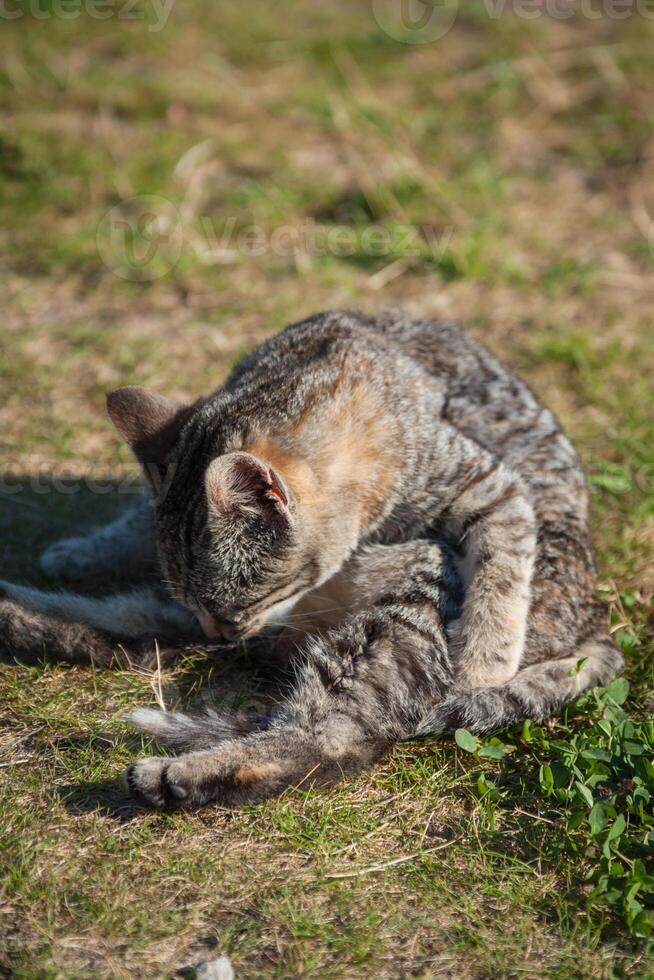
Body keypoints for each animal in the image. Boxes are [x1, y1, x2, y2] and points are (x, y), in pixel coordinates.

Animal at [0, 310, 624, 808]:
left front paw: (486, 656)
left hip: (403, 611)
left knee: (333, 741)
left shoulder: (488, 481)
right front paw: (83, 550)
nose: (220, 633)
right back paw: (19, 614)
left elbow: (504, 551)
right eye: (209, 605)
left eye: (231, 608)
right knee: (127, 631)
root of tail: (594, 623)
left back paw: (177, 773)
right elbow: (136, 517)